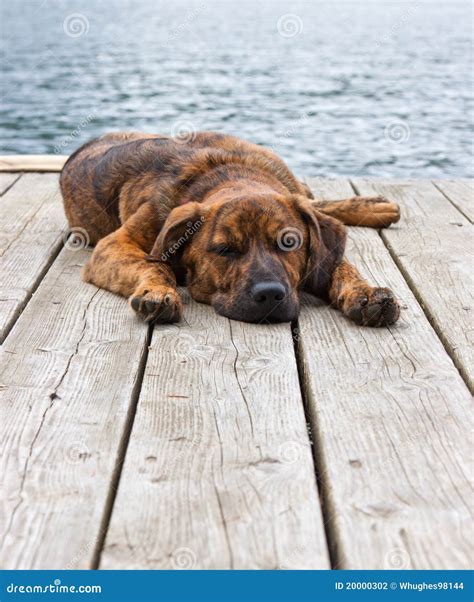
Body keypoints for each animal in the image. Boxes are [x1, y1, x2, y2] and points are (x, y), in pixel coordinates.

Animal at [59, 131, 400, 326]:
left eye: (289, 243)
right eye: (224, 250)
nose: (270, 295)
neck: (228, 176)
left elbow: (341, 265)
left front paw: (365, 292)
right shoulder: (115, 245)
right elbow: (155, 266)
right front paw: (158, 291)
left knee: (312, 200)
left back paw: (374, 206)